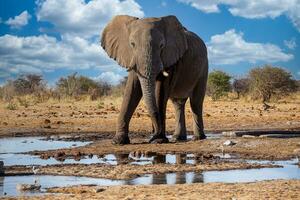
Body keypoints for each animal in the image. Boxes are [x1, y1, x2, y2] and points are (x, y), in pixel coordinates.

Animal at [101, 14, 209, 145]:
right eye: (132, 44)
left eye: (162, 45)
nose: (151, 136)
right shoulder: (132, 57)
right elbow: (131, 91)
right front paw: (118, 141)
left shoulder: (171, 58)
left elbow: (160, 92)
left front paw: (159, 140)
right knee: (178, 103)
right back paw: (177, 138)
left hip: (203, 68)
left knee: (196, 103)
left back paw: (198, 138)